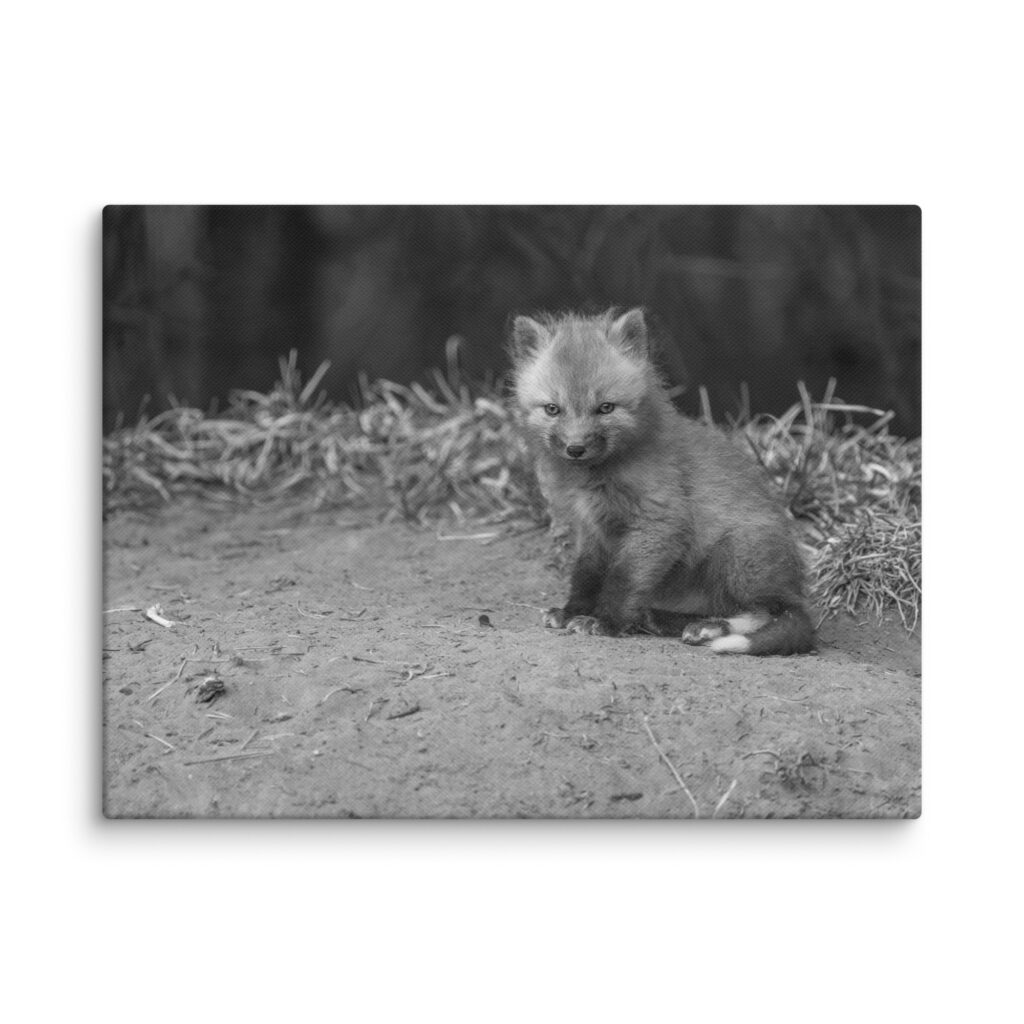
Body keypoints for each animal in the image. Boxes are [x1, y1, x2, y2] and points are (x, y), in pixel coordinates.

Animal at [509, 307, 815, 656]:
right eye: (552, 409)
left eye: (605, 408)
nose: (576, 449)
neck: (598, 478)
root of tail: (794, 585)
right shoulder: (592, 529)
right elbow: (585, 575)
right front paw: (572, 611)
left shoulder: (658, 522)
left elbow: (623, 580)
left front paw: (605, 622)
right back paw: (663, 619)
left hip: (737, 554)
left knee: (773, 612)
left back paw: (709, 628)